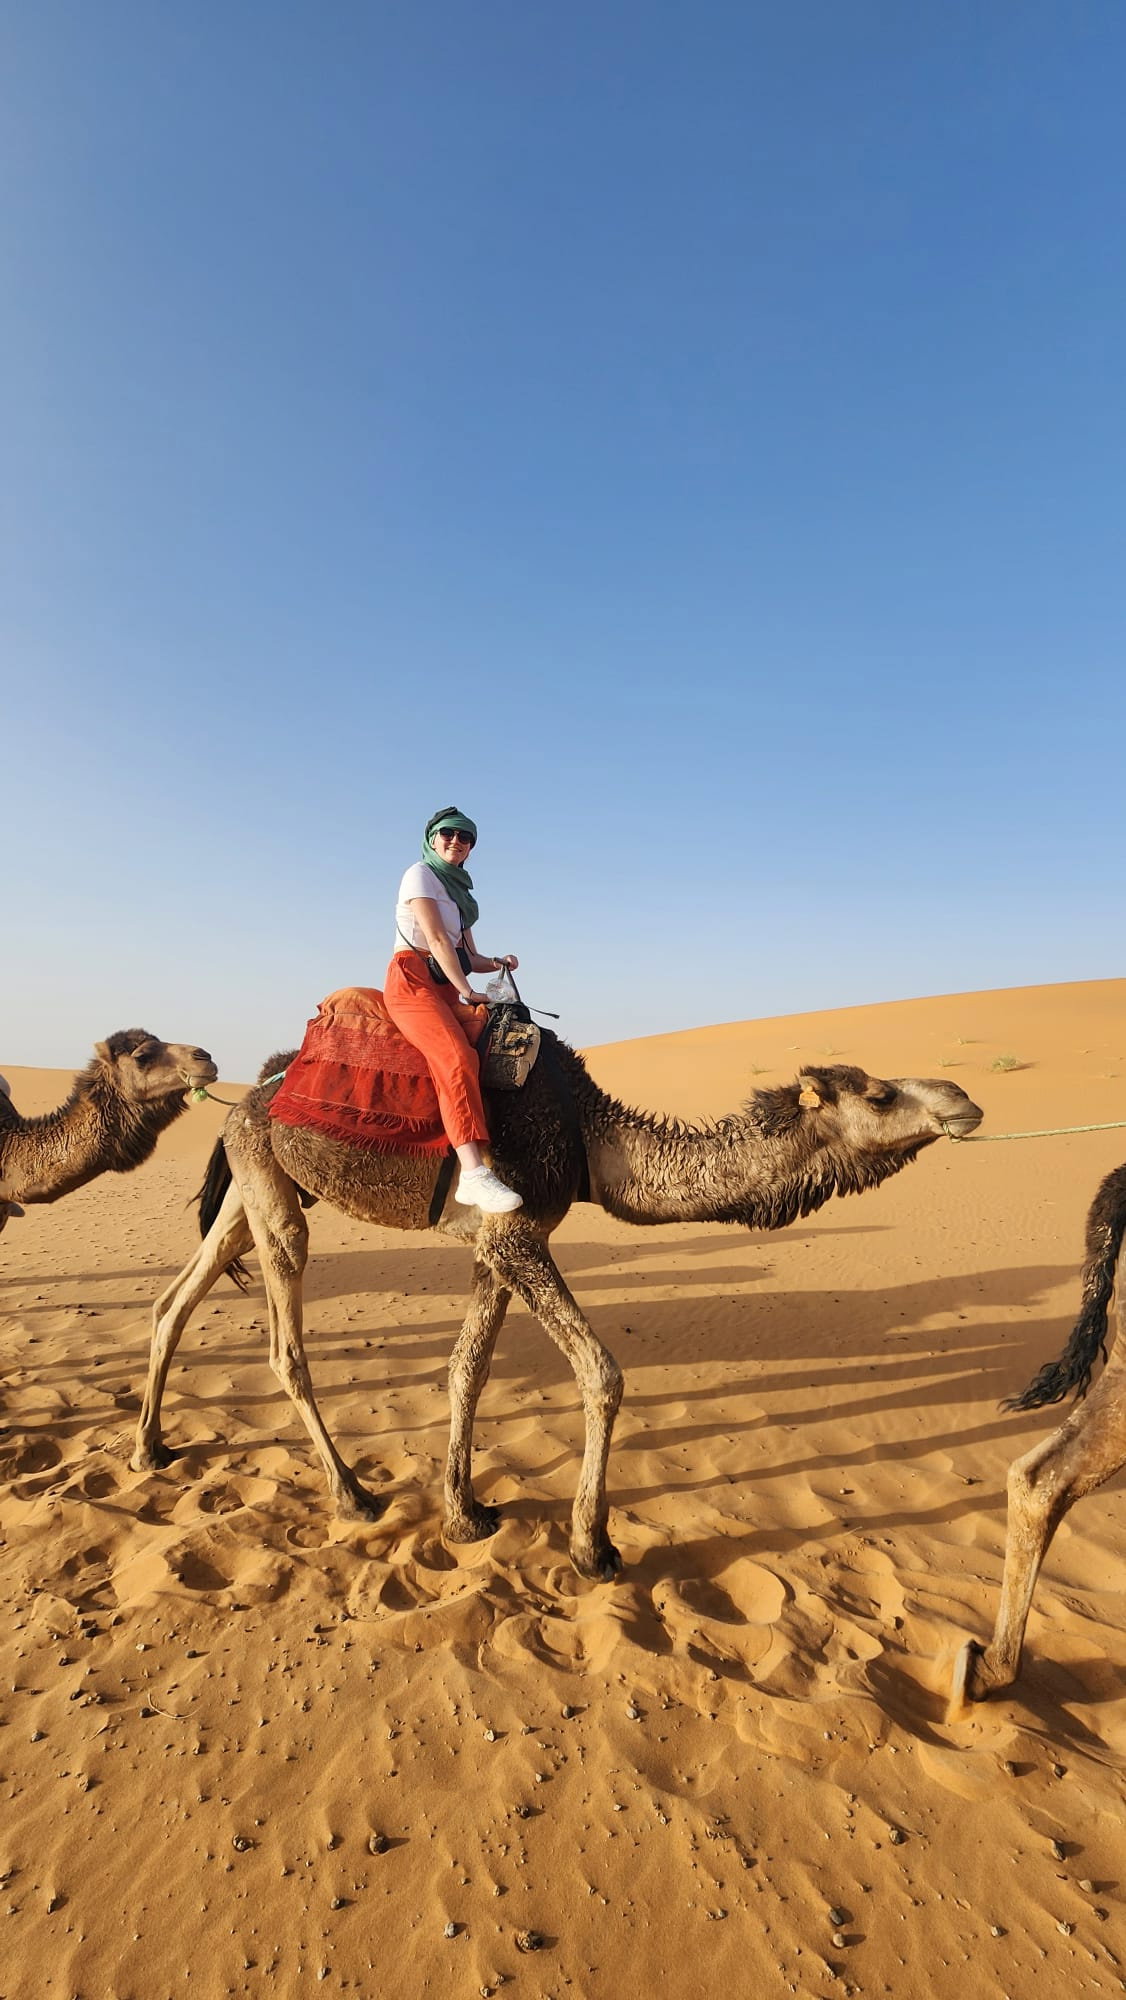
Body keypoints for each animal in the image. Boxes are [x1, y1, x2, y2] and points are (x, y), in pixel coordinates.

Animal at [132, 1035, 982, 1579]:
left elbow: (465, 1370)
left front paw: (465, 1515)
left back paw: (150, 1448)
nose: (965, 1098)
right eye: (880, 1093)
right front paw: (592, 1547)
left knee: (175, 1300)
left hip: (256, 1181)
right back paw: (353, 1495)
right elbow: (602, 1374)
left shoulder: (496, 1244)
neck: (588, 1141)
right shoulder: (516, 1235)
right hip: (273, 1190)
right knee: (283, 1343)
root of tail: (243, 1100)